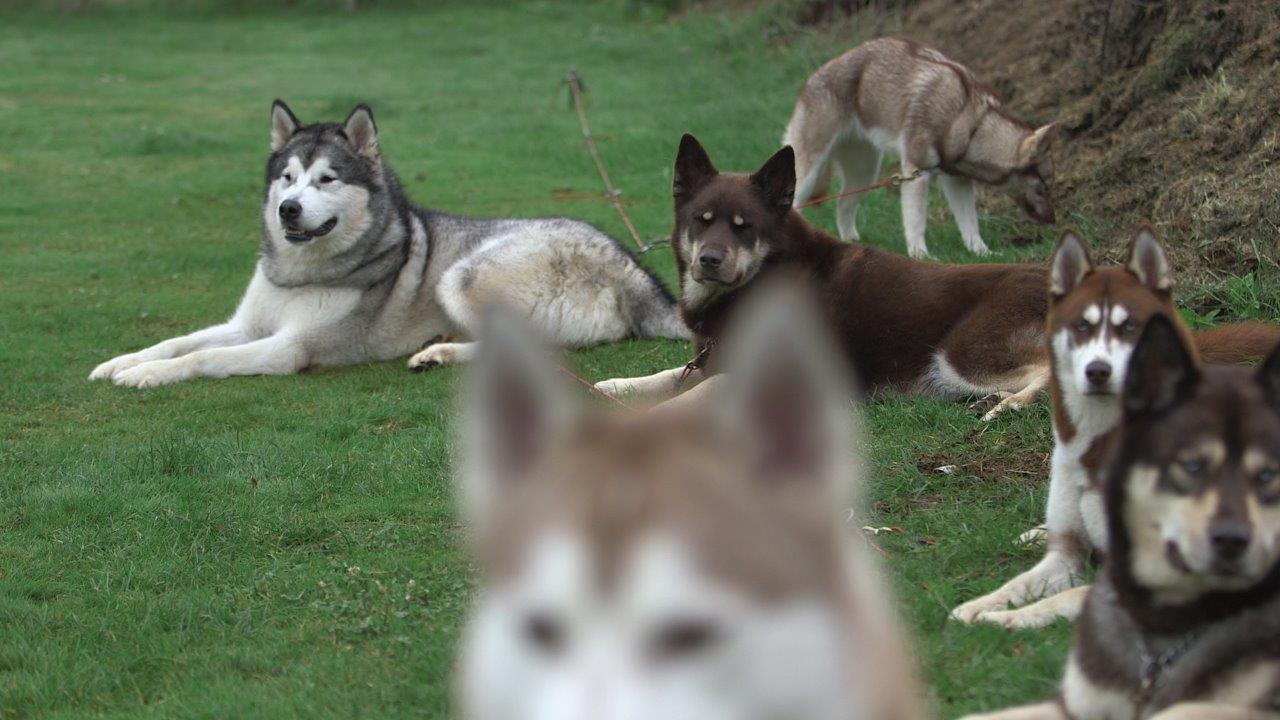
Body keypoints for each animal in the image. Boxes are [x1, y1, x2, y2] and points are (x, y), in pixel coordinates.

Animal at [593, 133, 1054, 420]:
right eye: (701, 220)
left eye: (744, 226)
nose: (708, 260)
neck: (761, 277)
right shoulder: (710, 359)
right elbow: (671, 374)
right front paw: (613, 385)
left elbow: (702, 388)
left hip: (962, 348)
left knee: (1052, 374)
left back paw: (1010, 405)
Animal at [952, 228, 1280, 627]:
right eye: (1081, 326)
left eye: (1130, 327)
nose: (1097, 371)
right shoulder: (1067, 554)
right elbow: (1017, 584)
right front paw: (977, 607)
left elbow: (1060, 601)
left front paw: (1006, 621)